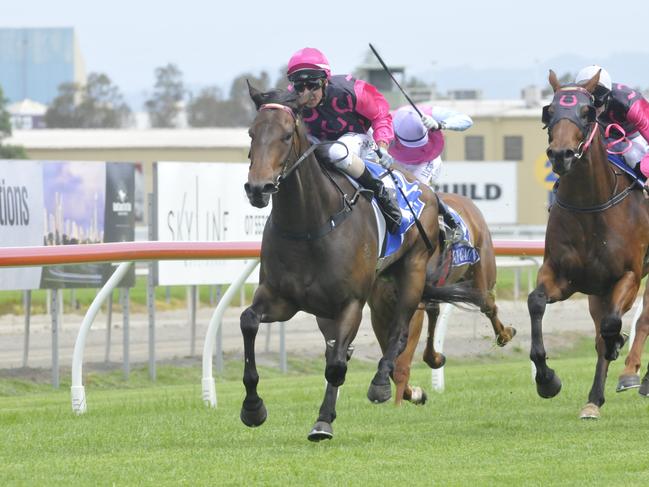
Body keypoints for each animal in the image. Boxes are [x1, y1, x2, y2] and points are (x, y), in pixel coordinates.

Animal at [240, 87, 478, 442]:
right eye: (251, 133)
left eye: (285, 135)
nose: (258, 188)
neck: (309, 225)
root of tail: (425, 189)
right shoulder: (280, 299)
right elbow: (249, 322)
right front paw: (253, 408)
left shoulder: (350, 302)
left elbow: (338, 365)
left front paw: (323, 421)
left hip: (413, 270)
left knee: (399, 331)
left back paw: (381, 383)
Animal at [370, 193, 516, 406]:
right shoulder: (379, 312)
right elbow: (392, 359)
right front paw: (412, 393)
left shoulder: (412, 308)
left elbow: (401, 363)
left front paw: (400, 401)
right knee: (435, 314)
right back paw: (435, 358)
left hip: (482, 272)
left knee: (488, 306)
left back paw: (504, 335)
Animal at [528, 68, 648, 420]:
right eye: (549, 111)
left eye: (586, 111)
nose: (561, 155)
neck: (591, 207)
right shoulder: (562, 275)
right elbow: (535, 302)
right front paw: (547, 380)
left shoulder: (629, 275)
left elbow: (612, 325)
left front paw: (618, 343)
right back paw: (594, 398)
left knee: (642, 319)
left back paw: (636, 376)